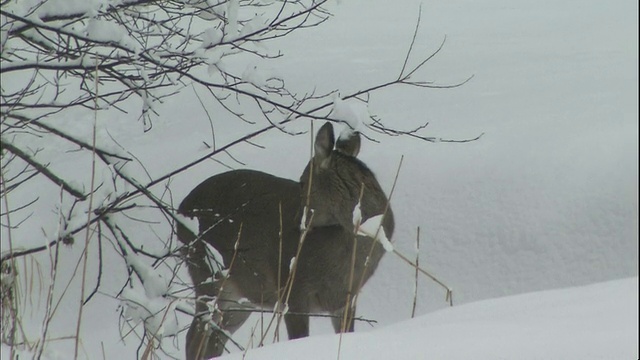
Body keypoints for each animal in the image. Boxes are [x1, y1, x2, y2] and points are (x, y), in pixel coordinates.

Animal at [176, 122, 396, 358]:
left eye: (302, 182)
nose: (297, 220)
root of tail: (180, 211)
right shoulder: (291, 287)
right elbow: (299, 338)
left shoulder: (346, 298)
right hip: (206, 270)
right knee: (194, 336)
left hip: (242, 296)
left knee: (215, 338)